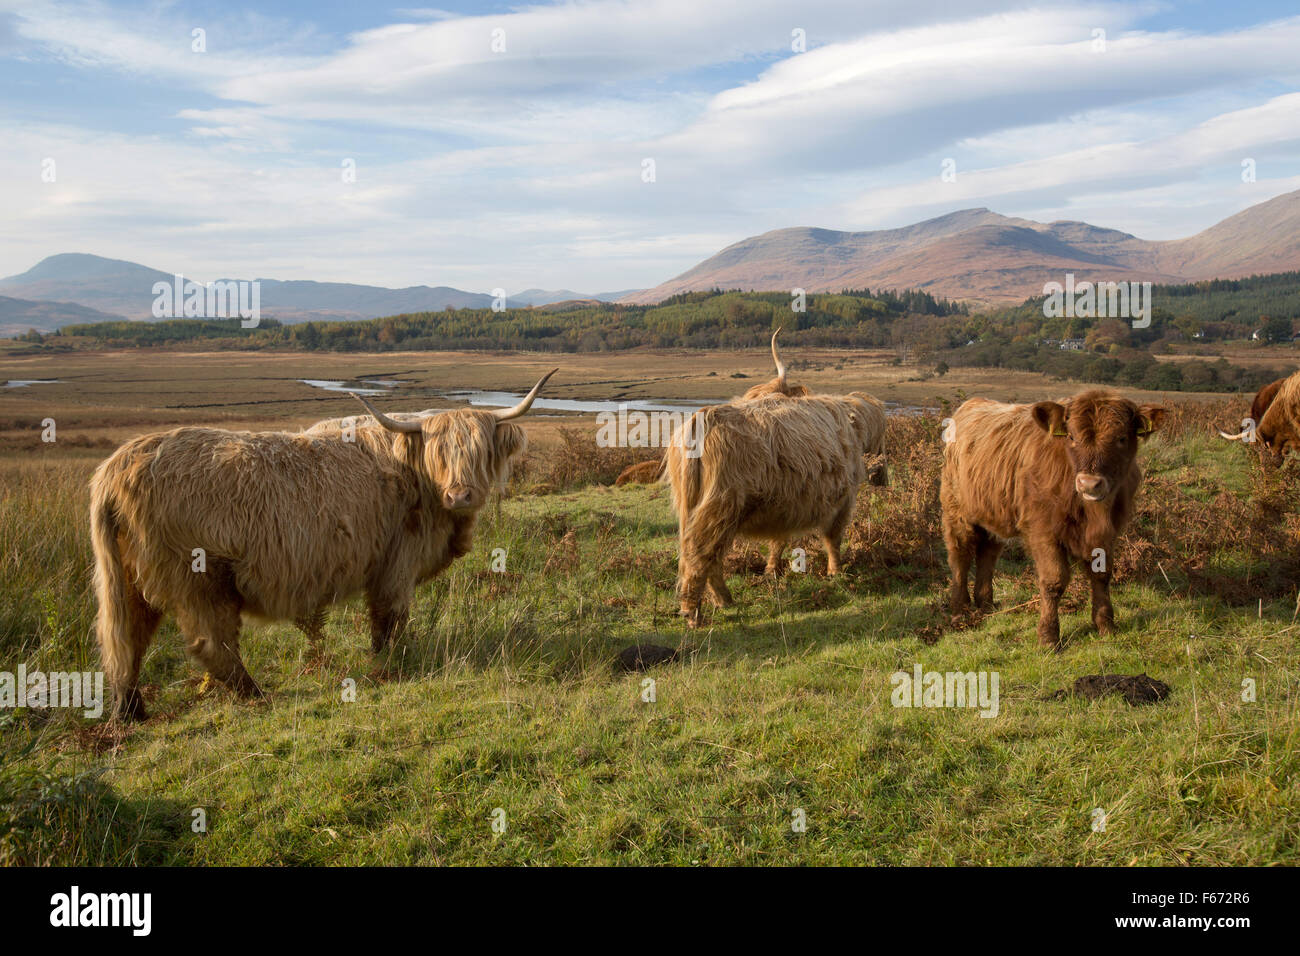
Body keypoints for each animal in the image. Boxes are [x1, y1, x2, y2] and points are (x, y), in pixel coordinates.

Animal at [935, 390, 1170, 650]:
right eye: (1072, 436)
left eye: (1121, 438)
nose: (1089, 483)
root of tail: (972, 404)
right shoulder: (1042, 530)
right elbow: (1053, 581)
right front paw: (1048, 637)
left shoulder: (1107, 533)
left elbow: (1102, 574)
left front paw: (1106, 625)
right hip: (957, 510)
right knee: (960, 554)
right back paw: (960, 610)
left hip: (993, 512)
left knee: (988, 553)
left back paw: (985, 605)